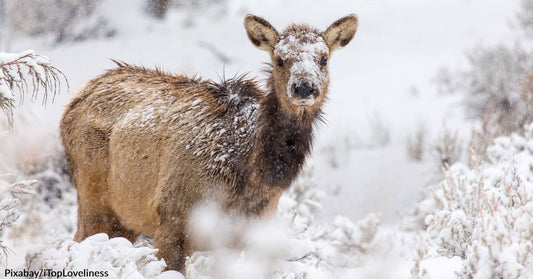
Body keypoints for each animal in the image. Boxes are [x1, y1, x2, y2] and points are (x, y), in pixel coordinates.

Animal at [59, 13, 358, 272]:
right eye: (280, 59)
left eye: (323, 58)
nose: (304, 87)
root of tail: (76, 98)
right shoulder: (171, 219)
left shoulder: (247, 233)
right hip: (93, 197)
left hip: (125, 218)